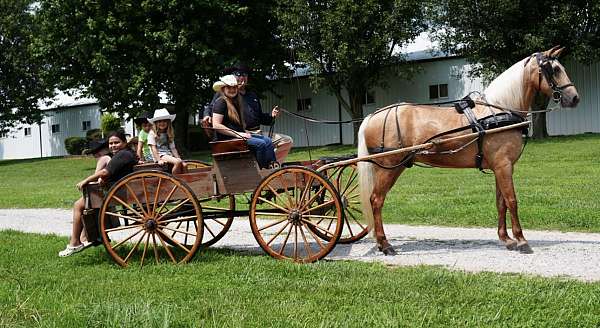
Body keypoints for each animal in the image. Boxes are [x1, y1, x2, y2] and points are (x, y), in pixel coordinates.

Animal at [358, 46, 580, 254]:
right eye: (554, 69)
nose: (575, 98)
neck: (498, 111)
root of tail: (373, 116)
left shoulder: (499, 167)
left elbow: (501, 202)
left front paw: (506, 239)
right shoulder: (504, 166)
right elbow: (512, 201)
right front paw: (521, 240)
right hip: (389, 168)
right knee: (376, 200)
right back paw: (385, 244)